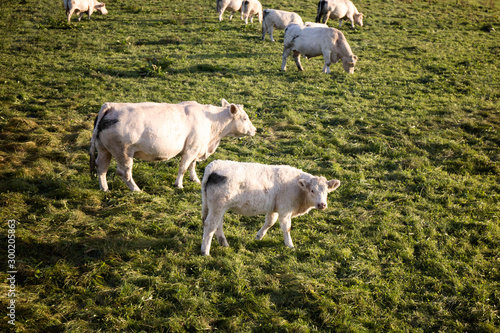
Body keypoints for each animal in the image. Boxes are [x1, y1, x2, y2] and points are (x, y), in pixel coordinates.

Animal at [88, 98, 258, 191]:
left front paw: (195, 179)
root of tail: (111, 106)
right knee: (124, 173)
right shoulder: (191, 149)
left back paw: (105, 189)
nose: (255, 130)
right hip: (123, 152)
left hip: (103, 149)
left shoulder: (196, 148)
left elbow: (192, 165)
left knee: (101, 167)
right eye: (244, 118)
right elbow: (183, 167)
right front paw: (179, 185)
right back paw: (136, 190)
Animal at [201, 160, 342, 255]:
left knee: (218, 224)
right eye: (312, 190)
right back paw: (205, 252)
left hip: (219, 207)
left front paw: (259, 236)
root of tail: (214, 165)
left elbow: (270, 222)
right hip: (218, 206)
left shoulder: (273, 208)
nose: (322, 204)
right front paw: (289, 244)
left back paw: (223, 243)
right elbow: (286, 227)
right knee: (210, 225)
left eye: (326, 192)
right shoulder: (285, 210)